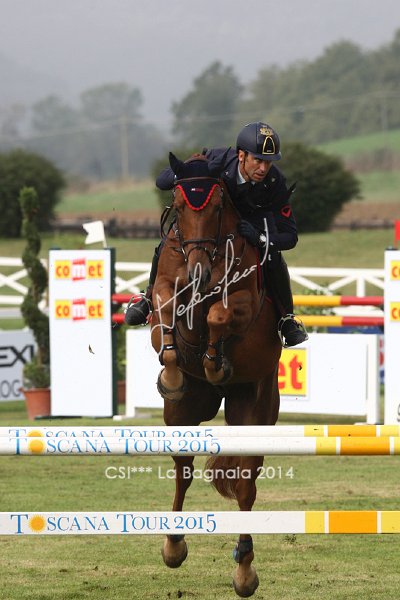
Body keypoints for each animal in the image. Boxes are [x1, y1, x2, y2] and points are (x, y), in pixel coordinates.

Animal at [150, 151, 282, 597]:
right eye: (177, 203)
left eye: (218, 205)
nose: (199, 273)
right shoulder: (166, 289)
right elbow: (167, 307)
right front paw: (173, 375)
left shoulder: (242, 302)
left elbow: (218, 314)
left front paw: (215, 360)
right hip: (183, 415)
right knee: (183, 470)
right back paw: (173, 546)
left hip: (256, 411)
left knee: (244, 485)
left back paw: (244, 571)